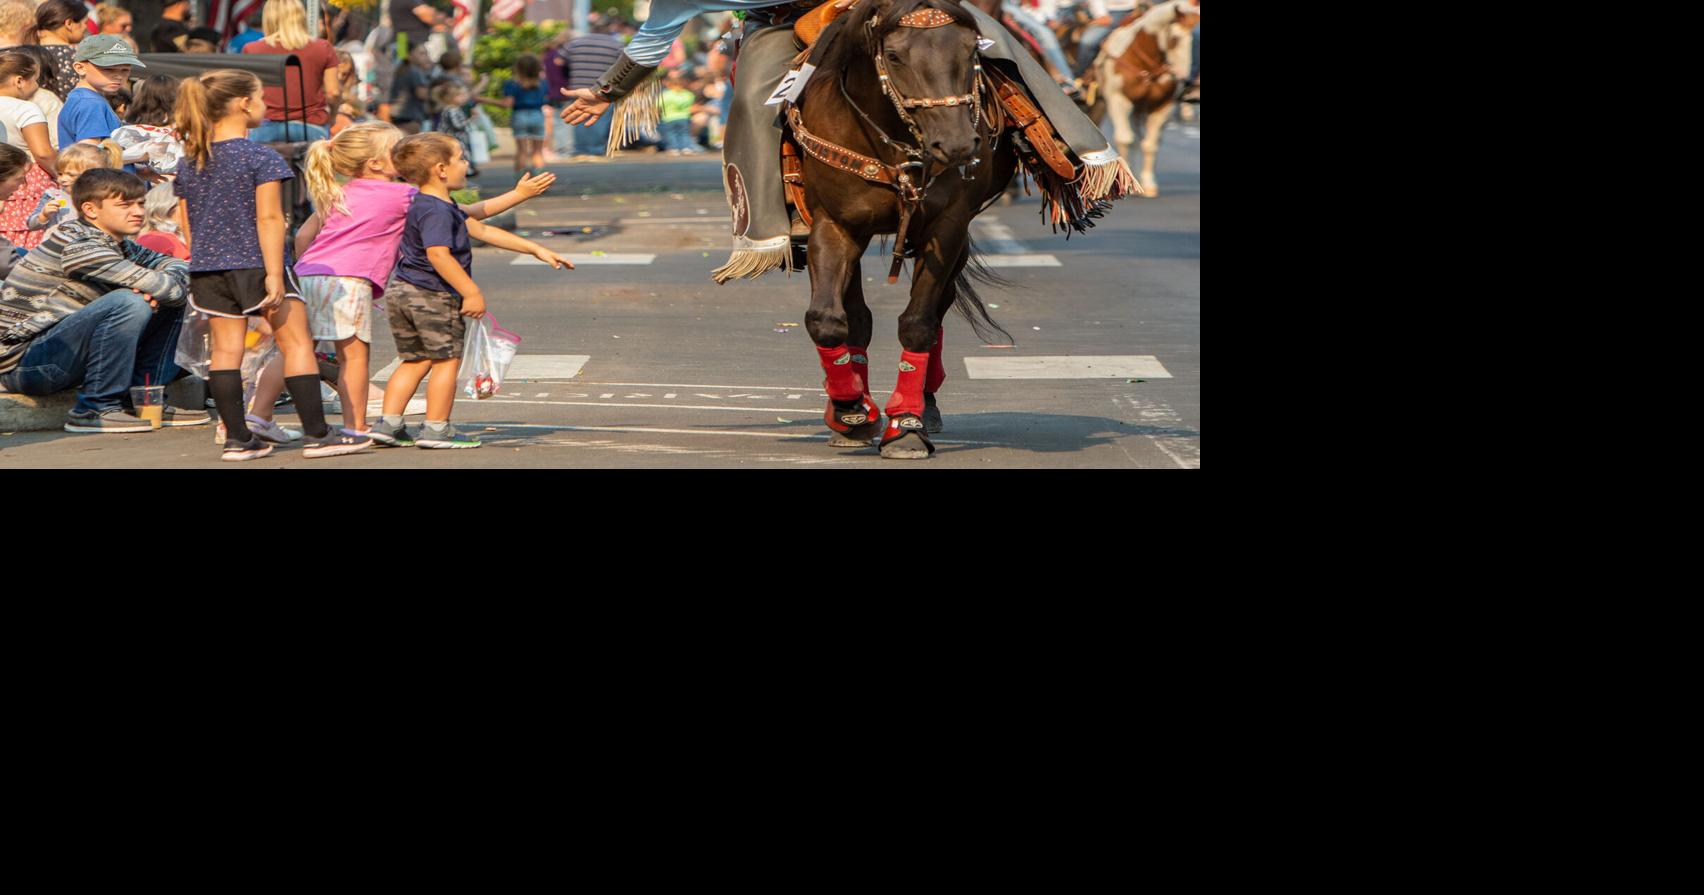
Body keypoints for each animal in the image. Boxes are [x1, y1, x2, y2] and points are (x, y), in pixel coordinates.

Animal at [790, 0, 1015, 460]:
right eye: (893, 56)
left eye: (971, 48)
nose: (956, 145)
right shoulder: (834, 224)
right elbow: (827, 319)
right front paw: (851, 409)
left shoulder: (948, 227)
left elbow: (919, 323)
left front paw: (906, 425)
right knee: (857, 316)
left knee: (939, 307)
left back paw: (925, 405)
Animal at [1090, 0, 1199, 196]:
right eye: (1175, 39)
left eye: (1195, 41)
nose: (1185, 78)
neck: (1147, 63)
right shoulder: (1118, 100)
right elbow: (1126, 139)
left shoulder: (1162, 105)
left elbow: (1150, 144)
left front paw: (1148, 183)